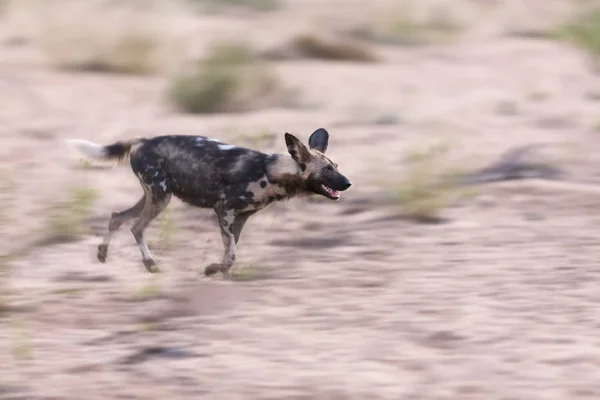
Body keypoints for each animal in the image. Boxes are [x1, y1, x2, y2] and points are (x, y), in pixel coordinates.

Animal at [67, 128, 352, 278]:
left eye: (336, 166)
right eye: (327, 170)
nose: (348, 183)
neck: (271, 171)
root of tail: (144, 140)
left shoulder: (240, 218)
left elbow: (231, 251)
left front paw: (220, 272)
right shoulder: (223, 210)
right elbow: (231, 254)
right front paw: (213, 269)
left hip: (152, 196)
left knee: (117, 216)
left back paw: (103, 254)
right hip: (161, 197)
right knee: (136, 227)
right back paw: (151, 264)